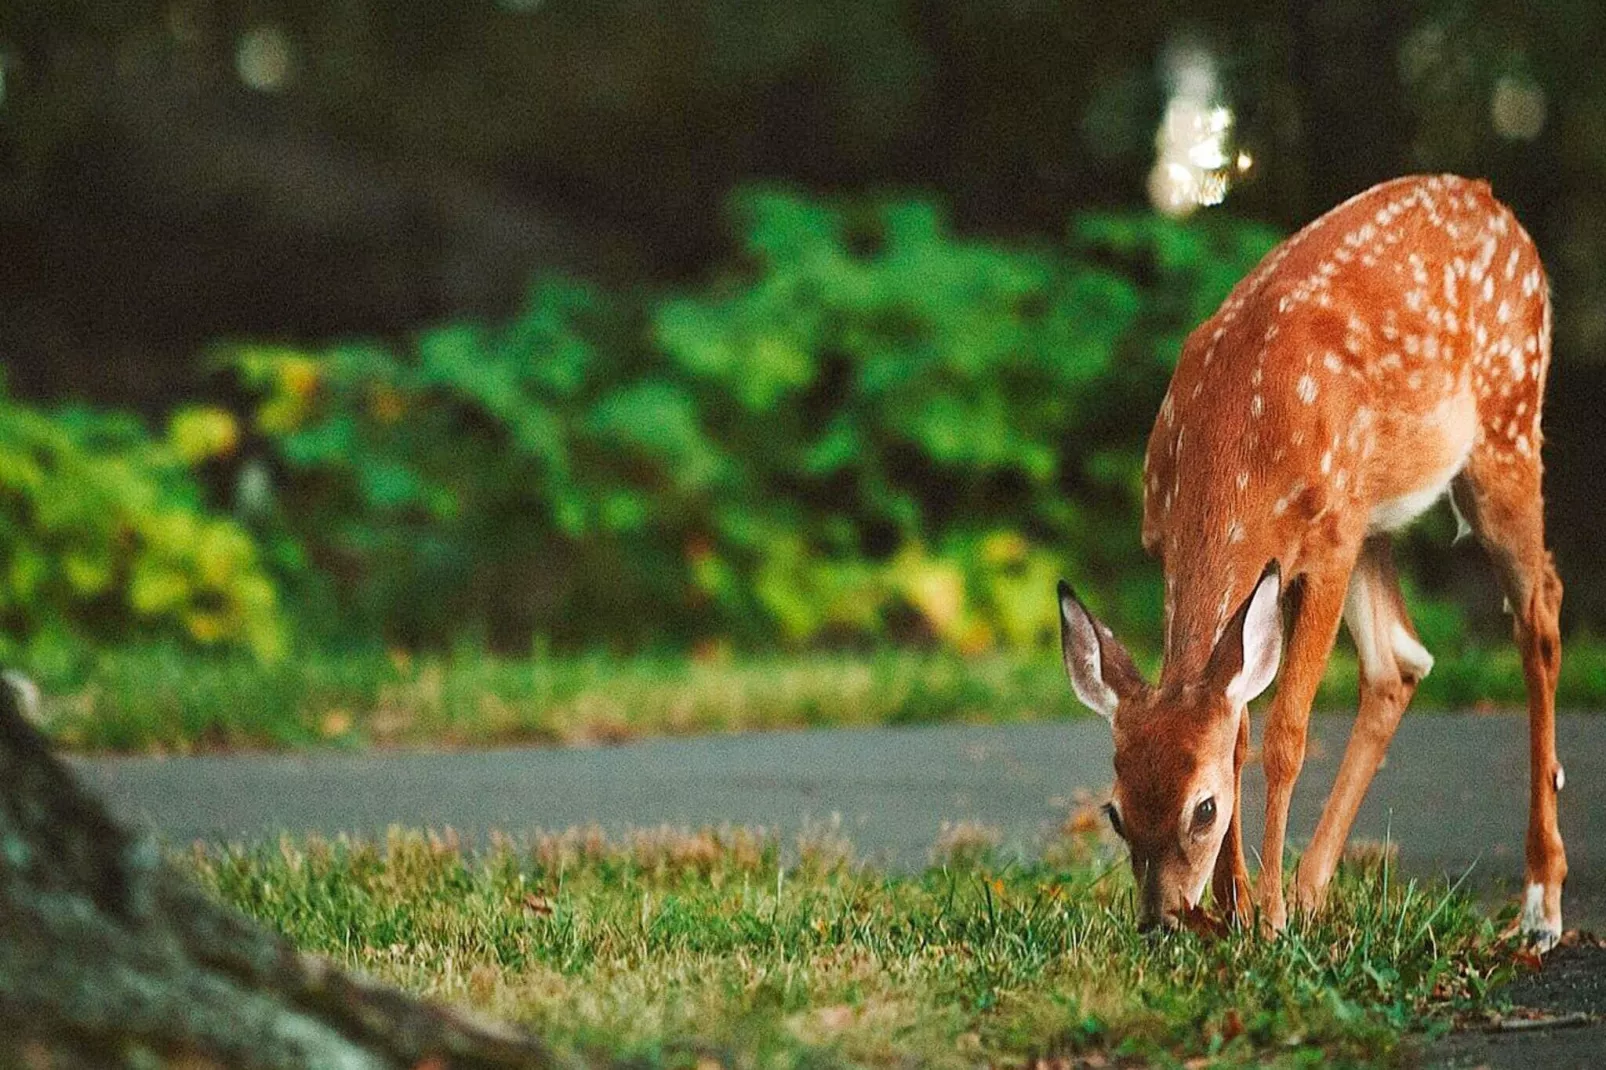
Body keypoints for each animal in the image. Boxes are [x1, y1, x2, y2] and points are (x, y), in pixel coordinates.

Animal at [1059, 176, 1561, 951]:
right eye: (1115, 812)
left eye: (1204, 809)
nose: (1160, 921)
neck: (1236, 442)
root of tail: (1492, 202)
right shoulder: (1179, 541)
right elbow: (1235, 725)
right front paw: (1235, 908)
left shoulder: (1325, 546)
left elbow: (1284, 734)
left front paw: (1263, 920)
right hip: (1374, 516)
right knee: (1399, 662)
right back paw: (1311, 890)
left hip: (1504, 430)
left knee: (1539, 614)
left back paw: (1541, 904)